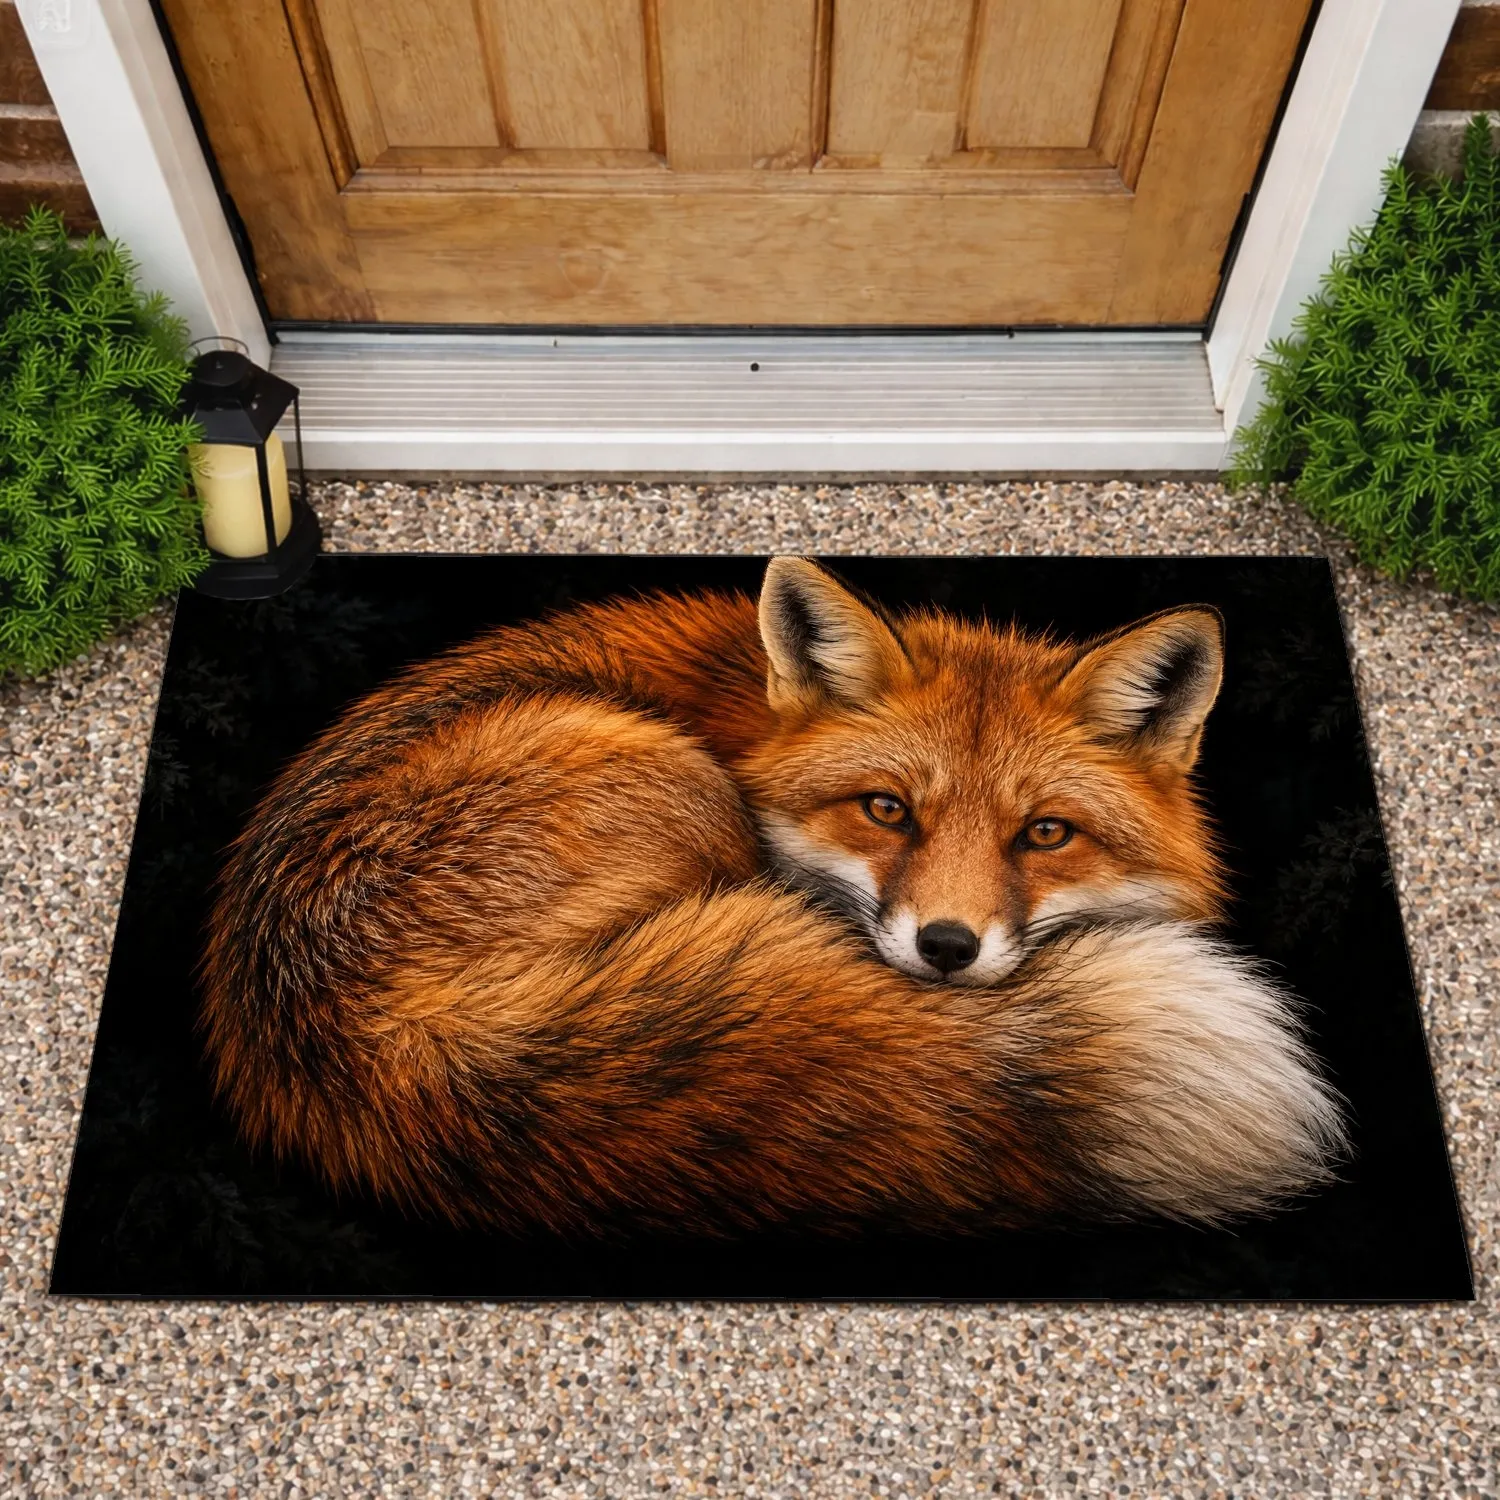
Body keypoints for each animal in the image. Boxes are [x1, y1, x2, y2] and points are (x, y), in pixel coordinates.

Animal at [198, 557, 1345, 1237]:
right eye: (887, 810)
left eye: (1045, 835)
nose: (946, 946)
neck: (749, 720)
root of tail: (365, 1039)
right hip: (683, 788)